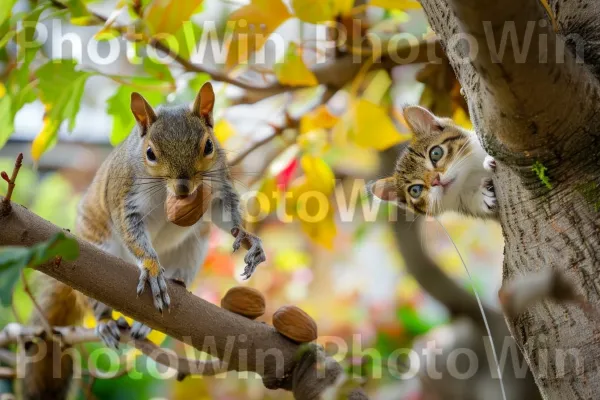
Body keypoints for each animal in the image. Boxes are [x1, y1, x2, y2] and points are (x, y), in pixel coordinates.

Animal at [21, 83, 266, 398]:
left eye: (209, 146)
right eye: (150, 153)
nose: (184, 187)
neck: (164, 191)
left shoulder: (218, 186)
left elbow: (225, 215)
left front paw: (247, 238)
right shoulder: (126, 199)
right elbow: (132, 232)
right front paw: (150, 266)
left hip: (189, 254)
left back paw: (147, 320)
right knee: (94, 302)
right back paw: (105, 323)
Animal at [368, 104, 500, 220]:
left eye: (436, 153)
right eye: (415, 190)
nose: (436, 180)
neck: (469, 178)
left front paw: (488, 159)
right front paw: (480, 198)